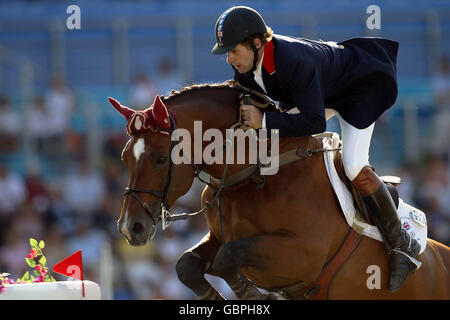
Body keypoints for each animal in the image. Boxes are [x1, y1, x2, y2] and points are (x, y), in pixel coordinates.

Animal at [109, 82, 450, 300]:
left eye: (160, 158)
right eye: (124, 157)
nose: (130, 228)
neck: (253, 175)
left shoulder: (303, 254)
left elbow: (228, 257)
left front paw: (254, 294)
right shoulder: (220, 237)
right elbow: (186, 265)